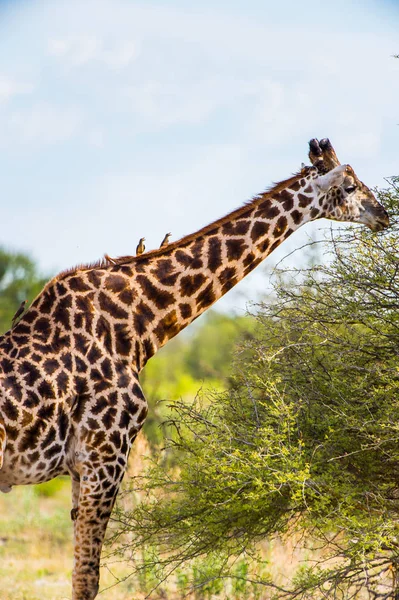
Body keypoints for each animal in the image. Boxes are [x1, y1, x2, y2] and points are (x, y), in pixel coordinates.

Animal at [0, 138, 390, 596]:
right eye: (348, 187)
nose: (383, 214)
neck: (138, 325)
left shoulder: (85, 466)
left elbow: (81, 574)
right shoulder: (105, 455)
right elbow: (86, 580)